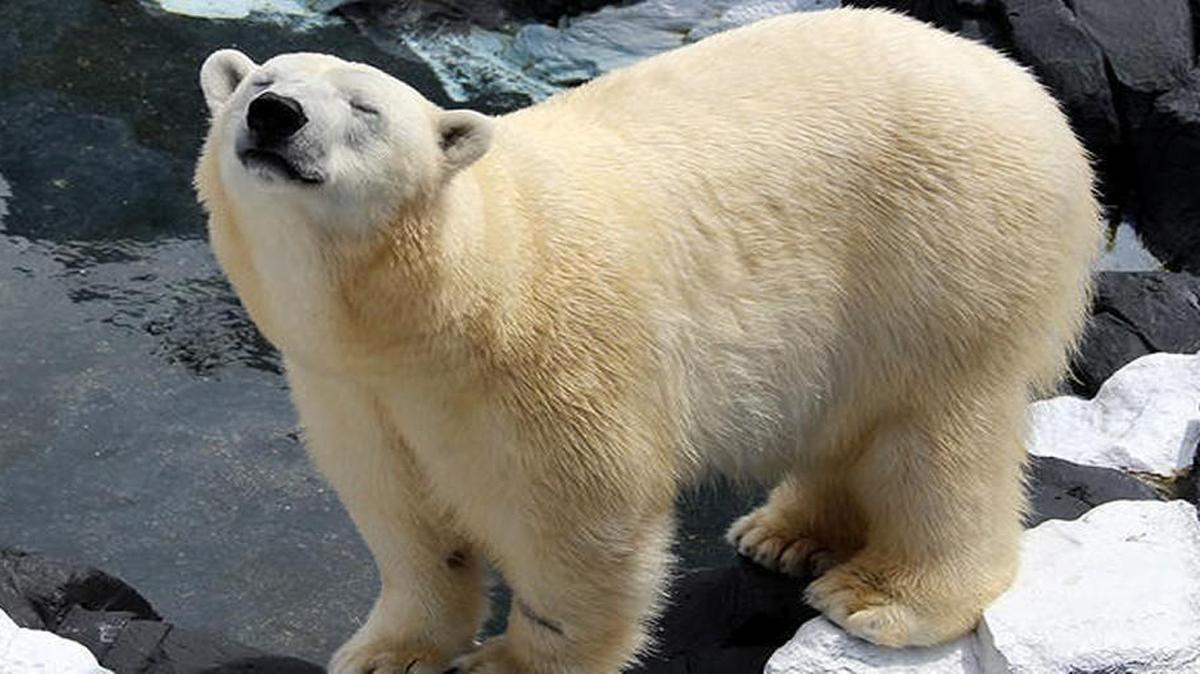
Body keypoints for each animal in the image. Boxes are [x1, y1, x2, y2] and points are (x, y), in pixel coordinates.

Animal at [195, 7, 1101, 673]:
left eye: (365, 109)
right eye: (262, 82)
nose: (275, 116)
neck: (448, 300)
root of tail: (1026, 89)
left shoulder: (546, 366)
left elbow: (579, 518)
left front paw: (510, 663)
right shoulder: (351, 386)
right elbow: (401, 513)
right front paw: (388, 652)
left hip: (945, 255)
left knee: (935, 435)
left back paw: (885, 598)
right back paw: (783, 533)